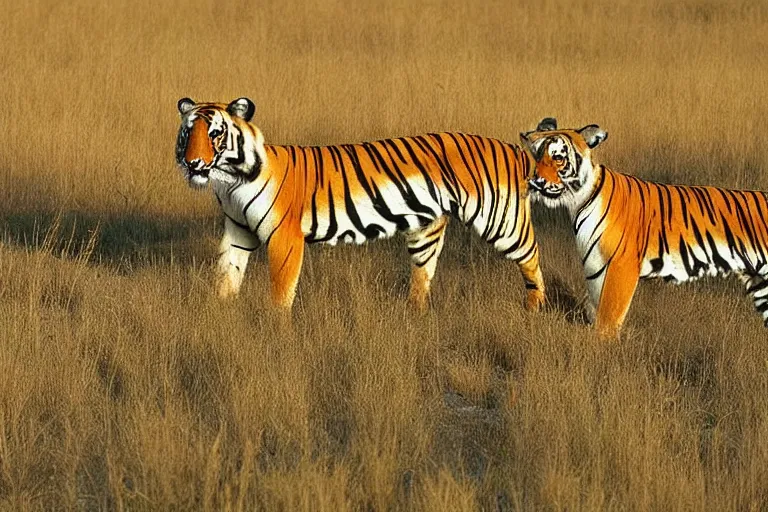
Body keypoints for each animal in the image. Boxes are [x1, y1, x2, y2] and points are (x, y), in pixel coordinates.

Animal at [174, 96, 544, 312]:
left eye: (215, 134)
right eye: (188, 133)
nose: (193, 163)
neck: (230, 181)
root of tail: (512, 148)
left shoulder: (285, 238)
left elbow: (281, 291)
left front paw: (276, 332)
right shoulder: (238, 232)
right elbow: (226, 277)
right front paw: (221, 316)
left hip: (500, 220)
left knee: (531, 256)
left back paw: (534, 309)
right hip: (425, 232)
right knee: (423, 274)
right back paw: (413, 315)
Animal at [520, 118, 768, 338]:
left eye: (558, 157)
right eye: (537, 155)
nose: (536, 182)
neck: (577, 201)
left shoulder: (622, 264)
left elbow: (608, 316)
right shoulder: (595, 265)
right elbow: (595, 306)